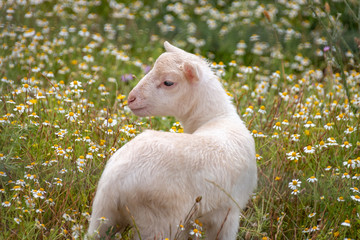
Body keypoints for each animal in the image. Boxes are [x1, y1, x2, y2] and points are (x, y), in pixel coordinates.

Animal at [87, 41, 256, 240]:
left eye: (168, 82)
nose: (131, 98)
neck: (217, 118)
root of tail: (114, 180)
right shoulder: (228, 212)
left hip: (106, 217)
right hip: (159, 220)